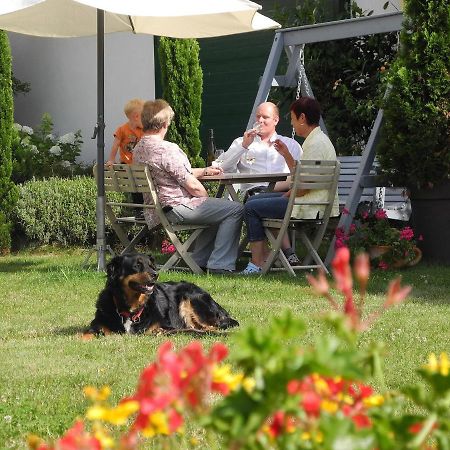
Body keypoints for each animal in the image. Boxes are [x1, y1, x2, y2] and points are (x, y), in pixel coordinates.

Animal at [83, 253, 239, 338]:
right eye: (137, 265)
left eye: (151, 265)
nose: (155, 274)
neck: (130, 309)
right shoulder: (97, 325)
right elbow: (86, 334)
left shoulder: (166, 327)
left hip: (191, 299)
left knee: (210, 328)